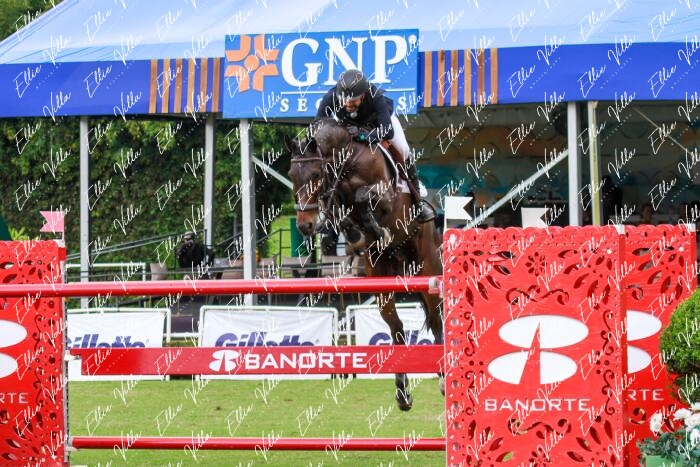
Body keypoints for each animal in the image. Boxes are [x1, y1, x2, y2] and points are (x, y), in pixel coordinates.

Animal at [284, 118, 445, 411]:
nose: (305, 225)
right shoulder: (334, 198)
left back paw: (442, 380)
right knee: (396, 328)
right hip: (382, 281)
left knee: (437, 321)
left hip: (428, 270)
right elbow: (341, 213)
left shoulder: (386, 196)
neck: (348, 160)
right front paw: (357, 235)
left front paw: (375, 228)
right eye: (291, 175)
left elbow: (362, 196)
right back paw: (402, 393)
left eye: (315, 174)